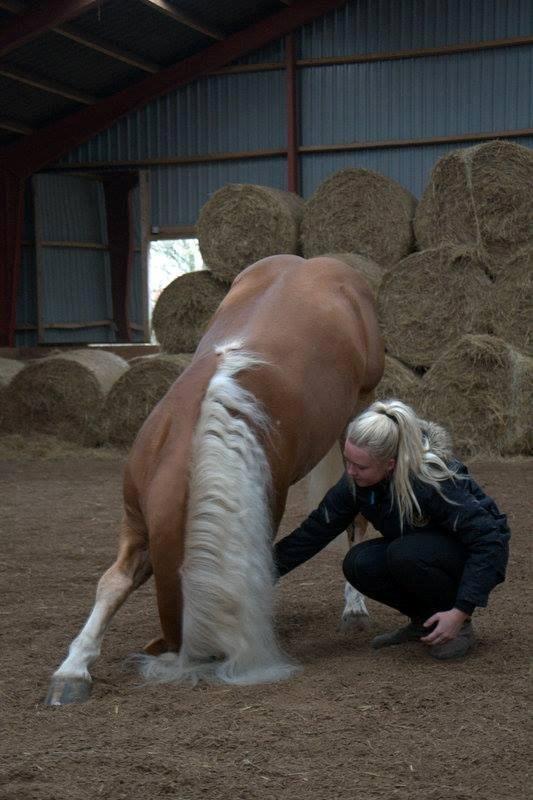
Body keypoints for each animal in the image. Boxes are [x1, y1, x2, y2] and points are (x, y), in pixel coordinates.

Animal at [44, 253, 382, 704]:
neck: (201, 430)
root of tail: (316, 263)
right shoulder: (136, 520)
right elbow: (113, 583)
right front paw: (73, 668)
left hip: (357, 412)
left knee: (356, 518)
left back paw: (354, 608)